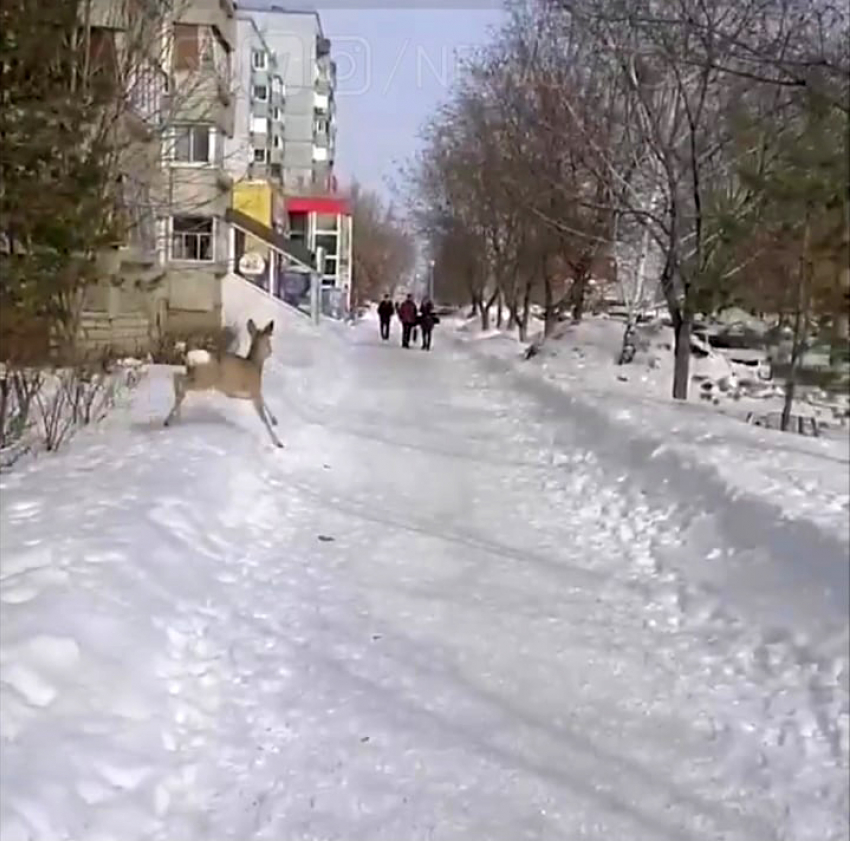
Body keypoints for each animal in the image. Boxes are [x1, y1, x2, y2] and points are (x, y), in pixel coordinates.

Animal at [164, 318, 284, 446]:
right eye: (268, 341)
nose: (271, 351)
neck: (255, 365)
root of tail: (189, 356)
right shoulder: (254, 389)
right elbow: (263, 417)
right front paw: (278, 442)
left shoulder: (247, 393)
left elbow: (263, 400)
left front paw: (275, 420)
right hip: (204, 379)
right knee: (183, 386)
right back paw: (169, 419)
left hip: (193, 375)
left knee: (176, 376)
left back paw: (176, 417)